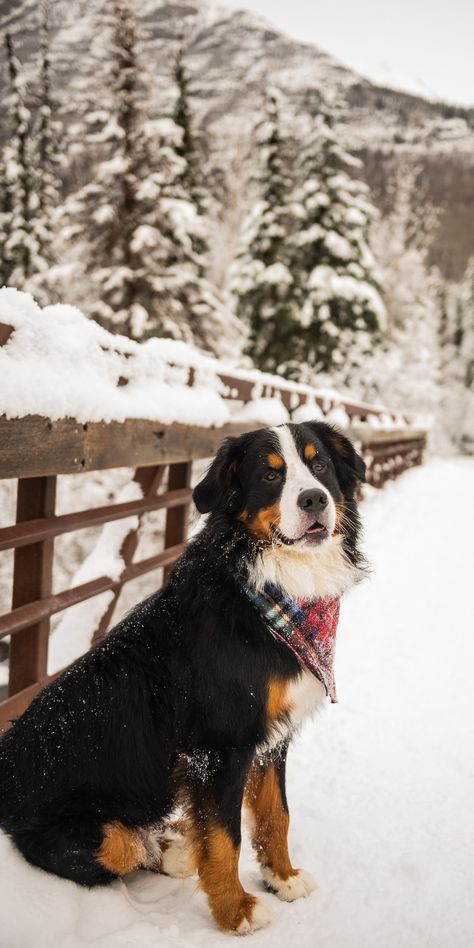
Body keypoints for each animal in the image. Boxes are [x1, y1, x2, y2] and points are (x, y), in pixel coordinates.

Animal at [0, 420, 366, 932]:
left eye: (321, 466)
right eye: (270, 476)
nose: (314, 499)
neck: (270, 587)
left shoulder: (271, 737)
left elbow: (276, 815)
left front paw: (282, 878)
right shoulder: (219, 745)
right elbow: (225, 838)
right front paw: (235, 912)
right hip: (77, 829)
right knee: (125, 846)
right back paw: (172, 848)